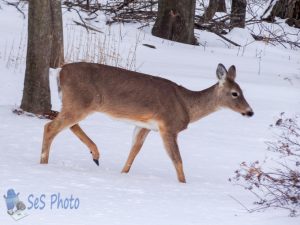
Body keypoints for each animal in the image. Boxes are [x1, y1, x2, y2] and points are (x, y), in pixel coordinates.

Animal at [41, 62, 253, 182]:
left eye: (242, 91)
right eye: (235, 93)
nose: (250, 112)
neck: (187, 105)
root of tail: (59, 71)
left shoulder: (146, 126)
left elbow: (133, 152)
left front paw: (123, 174)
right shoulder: (168, 126)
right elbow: (177, 160)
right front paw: (184, 185)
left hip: (76, 103)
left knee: (66, 125)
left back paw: (95, 154)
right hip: (80, 102)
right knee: (50, 126)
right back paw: (43, 165)